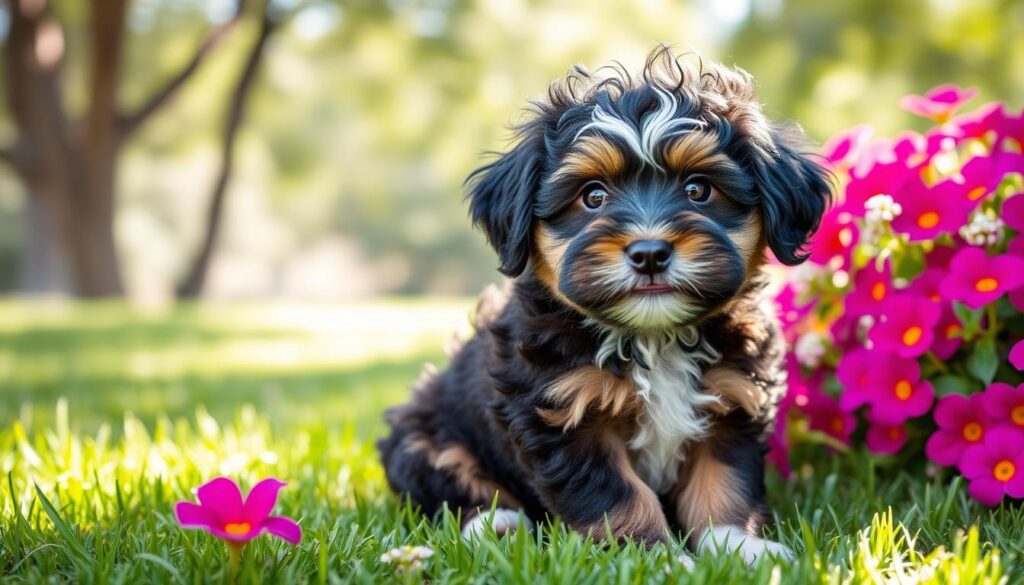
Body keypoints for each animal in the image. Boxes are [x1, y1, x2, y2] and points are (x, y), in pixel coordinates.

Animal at [378, 46, 831, 561]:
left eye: (699, 189)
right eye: (593, 196)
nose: (650, 253)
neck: (653, 338)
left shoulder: (734, 400)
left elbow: (724, 484)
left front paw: (740, 548)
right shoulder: (563, 415)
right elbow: (618, 496)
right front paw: (658, 559)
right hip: (423, 438)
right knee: (451, 488)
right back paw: (496, 524)